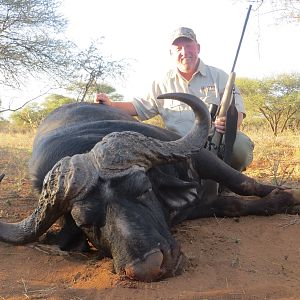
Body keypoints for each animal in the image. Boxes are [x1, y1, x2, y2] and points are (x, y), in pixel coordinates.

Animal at [0, 93, 300, 282]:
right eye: (84, 223)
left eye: (144, 189)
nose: (148, 267)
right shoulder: (198, 205)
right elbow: (232, 204)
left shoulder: (201, 157)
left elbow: (244, 182)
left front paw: (290, 196)